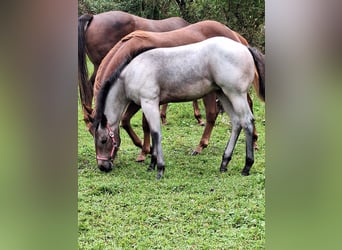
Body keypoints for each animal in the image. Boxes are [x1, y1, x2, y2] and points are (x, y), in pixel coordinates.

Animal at [90, 36, 264, 180]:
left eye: (103, 140)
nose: (103, 166)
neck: (132, 72)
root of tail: (245, 48)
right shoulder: (150, 104)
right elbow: (151, 131)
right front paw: (152, 164)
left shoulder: (149, 102)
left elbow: (155, 132)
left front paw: (160, 169)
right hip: (223, 94)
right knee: (236, 122)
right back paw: (224, 163)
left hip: (236, 94)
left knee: (247, 121)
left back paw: (247, 166)